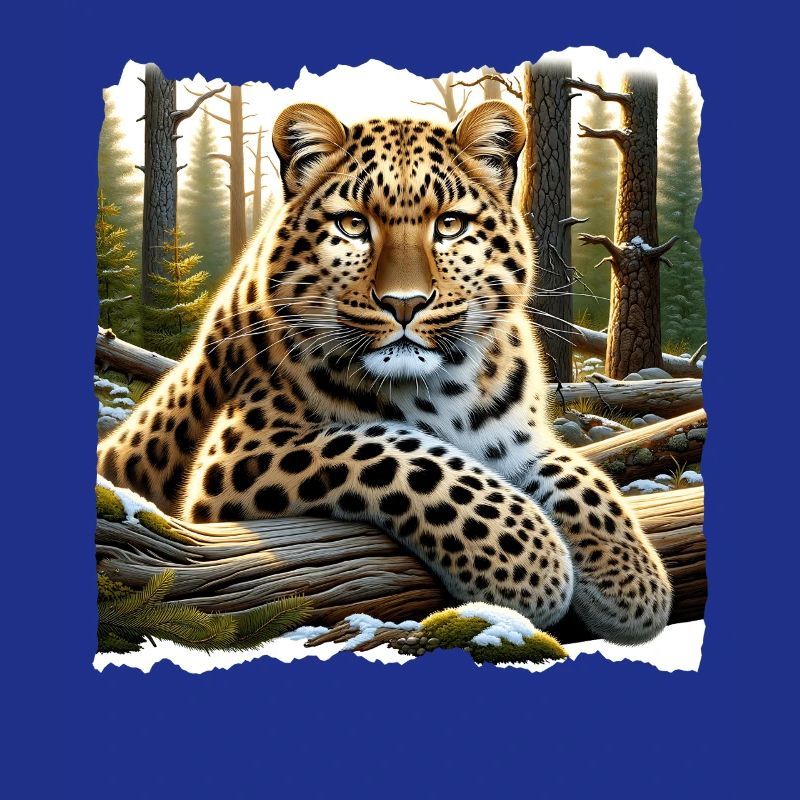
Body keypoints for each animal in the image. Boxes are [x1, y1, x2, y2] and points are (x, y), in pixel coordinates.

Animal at [97, 100, 672, 644]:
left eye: (450, 225)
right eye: (353, 225)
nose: (404, 303)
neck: (448, 385)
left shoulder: (515, 439)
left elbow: (580, 476)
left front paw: (633, 581)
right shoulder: (239, 453)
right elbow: (402, 452)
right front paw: (531, 560)